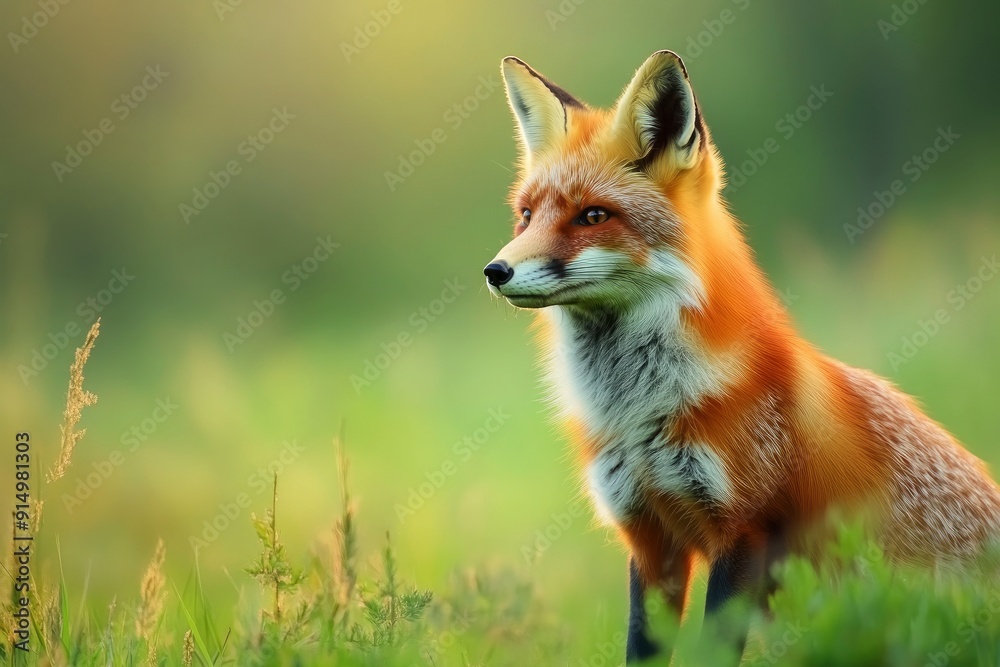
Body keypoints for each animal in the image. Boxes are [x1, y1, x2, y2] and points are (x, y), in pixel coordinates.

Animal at [483, 50, 1000, 663]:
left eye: (592, 216)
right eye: (526, 215)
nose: (495, 270)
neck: (637, 414)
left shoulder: (745, 531)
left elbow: (713, 648)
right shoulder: (649, 537)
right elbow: (642, 645)